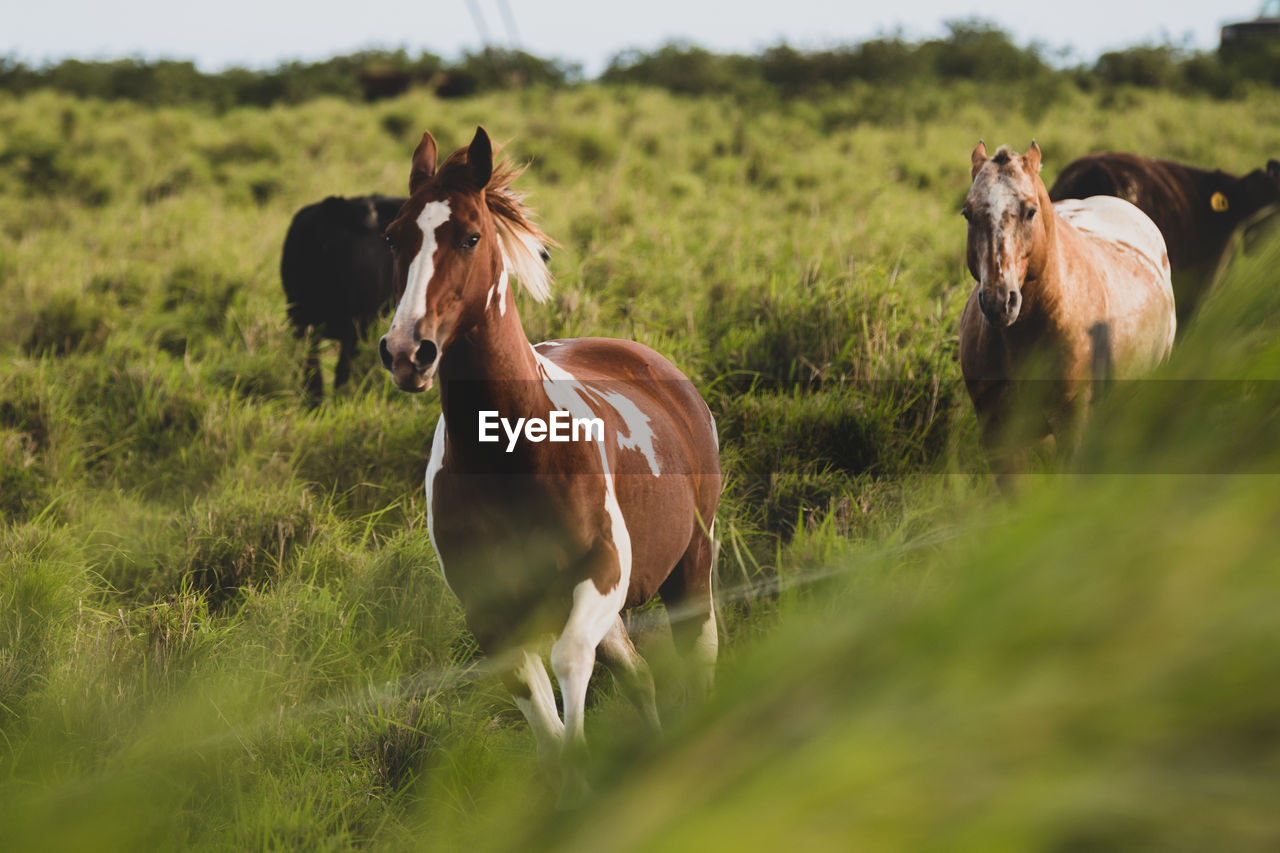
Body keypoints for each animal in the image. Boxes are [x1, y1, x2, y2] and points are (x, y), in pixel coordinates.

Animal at [376, 124, 721, 799]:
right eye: (394, 236)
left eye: (470, 236)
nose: (407, 352)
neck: (511, 455)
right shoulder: (490, 613)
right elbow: (546, 725)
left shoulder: (602, 574)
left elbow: (568, 665)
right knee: (639, 676)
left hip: (691, 568)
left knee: (696, 661)